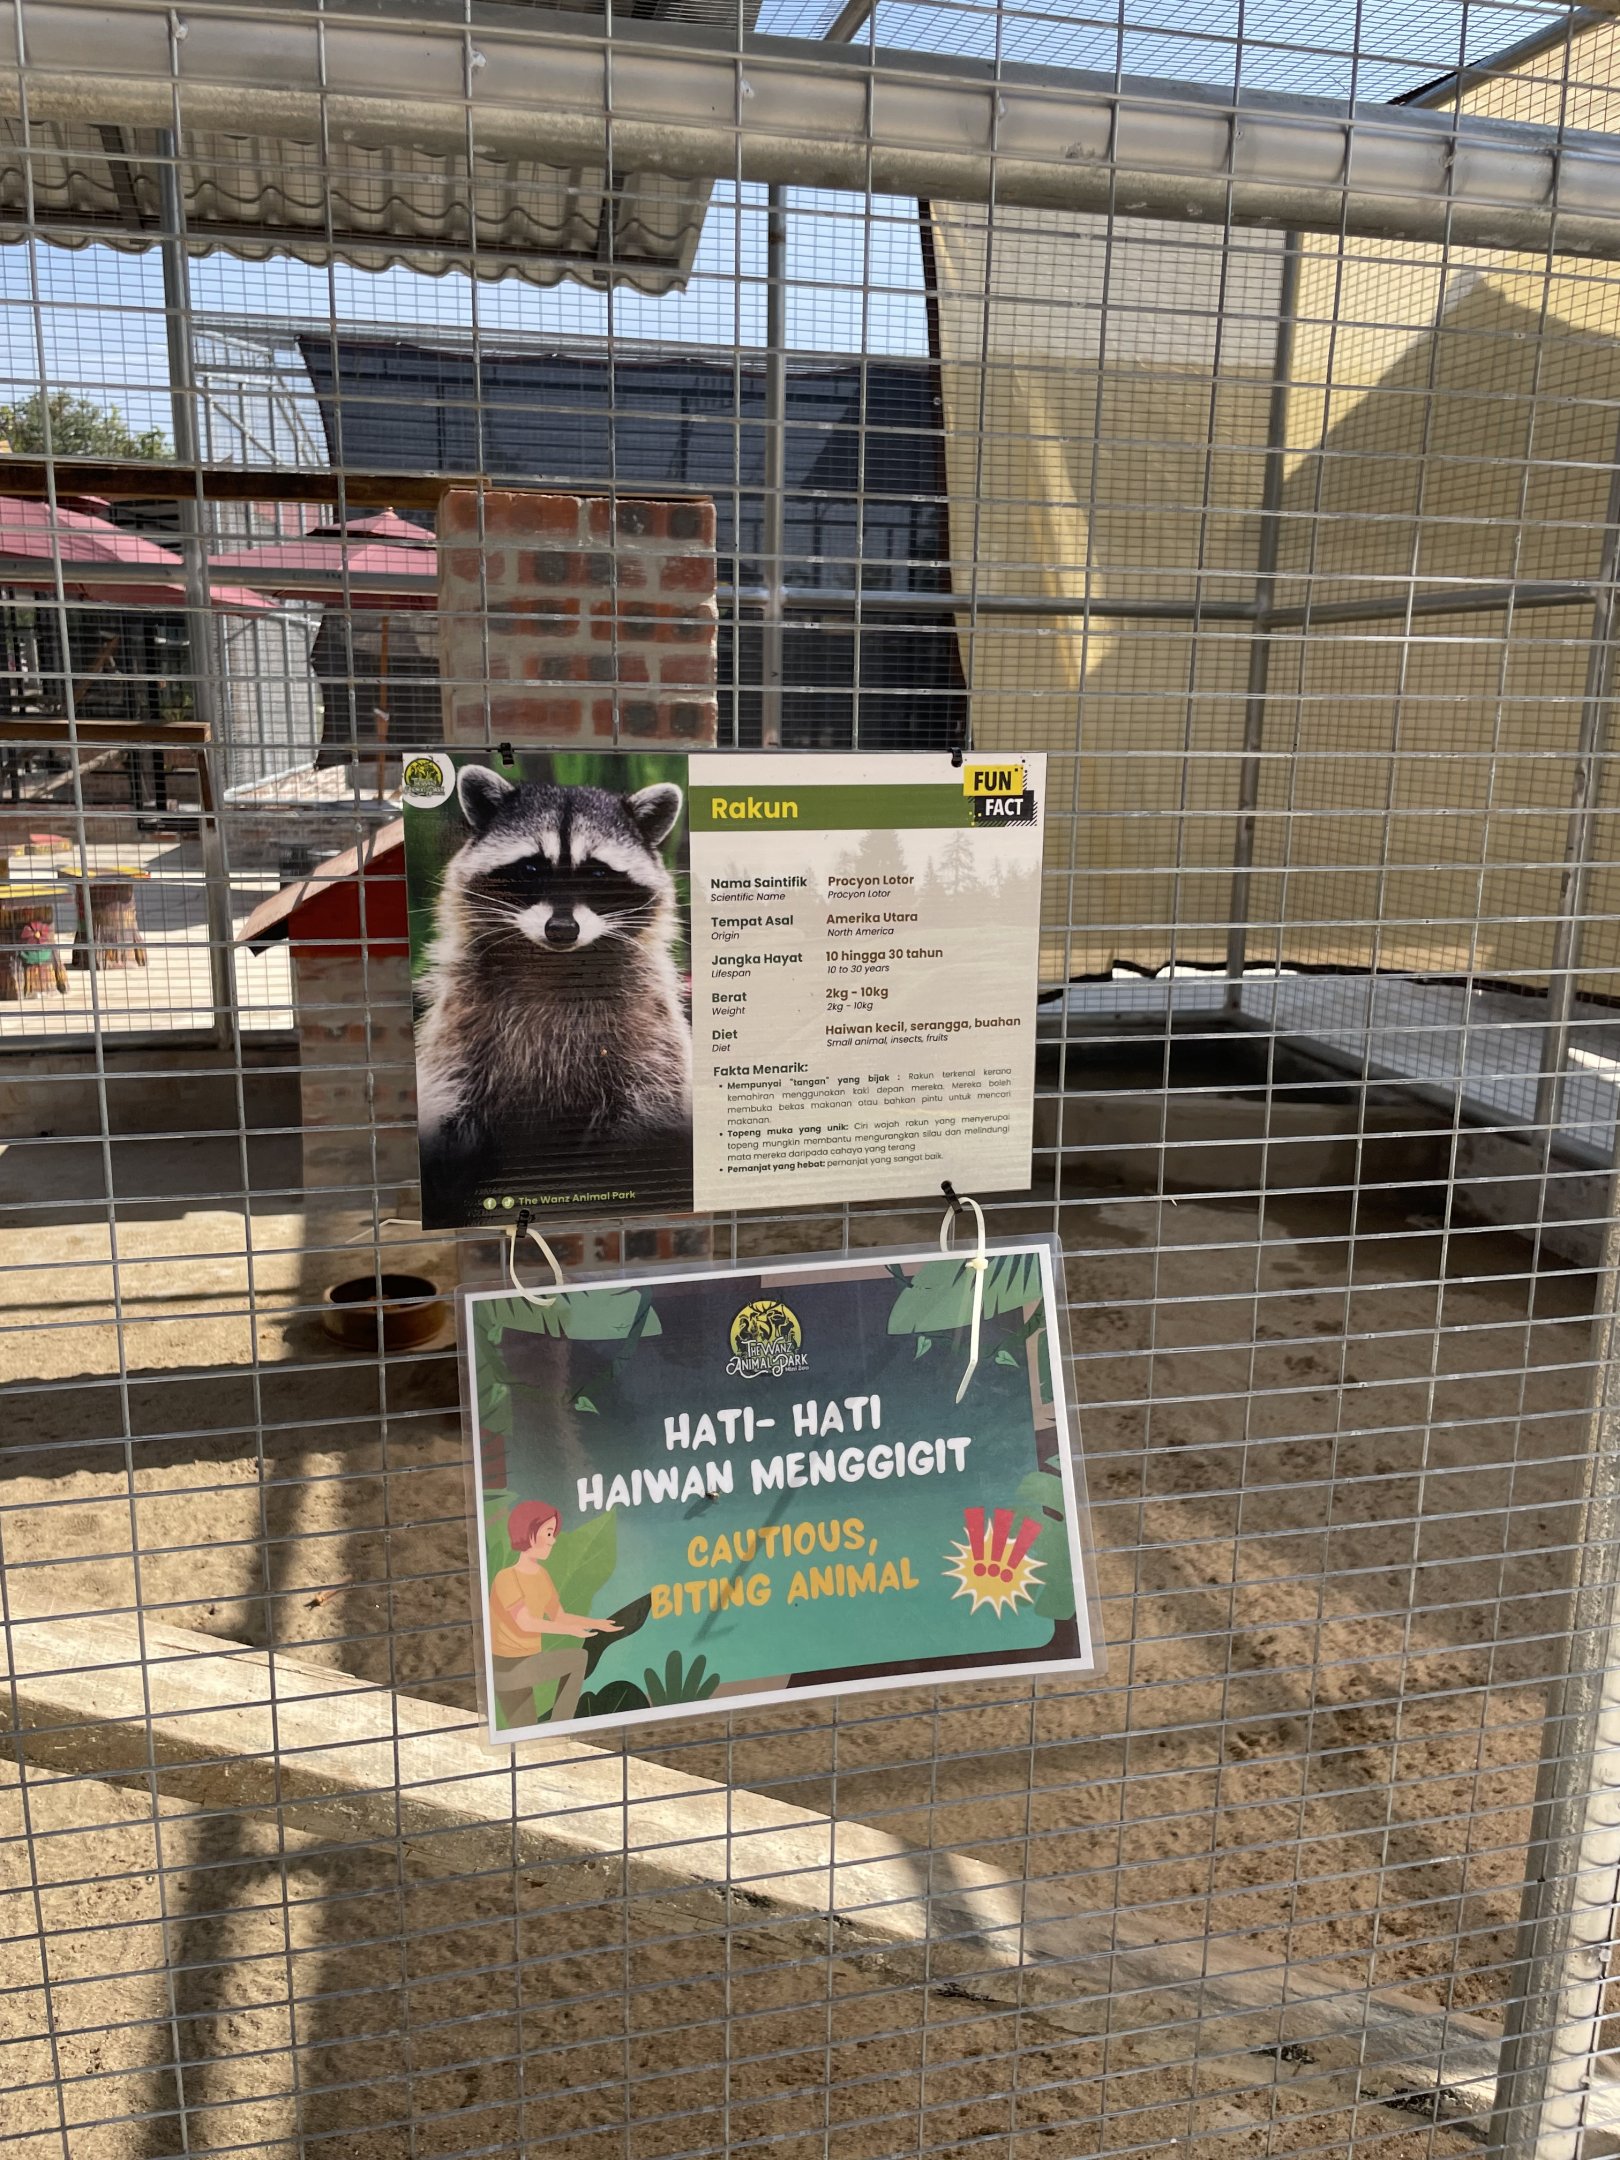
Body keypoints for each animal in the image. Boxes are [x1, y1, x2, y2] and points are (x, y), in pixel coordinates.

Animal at [415, 766, 691, 1201]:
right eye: (530, 869)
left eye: (598, 872)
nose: (562, 929)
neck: (558, 963)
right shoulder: (459, 1019)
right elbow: (449, 1094)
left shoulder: (649, 1022)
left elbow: (650, 1098)